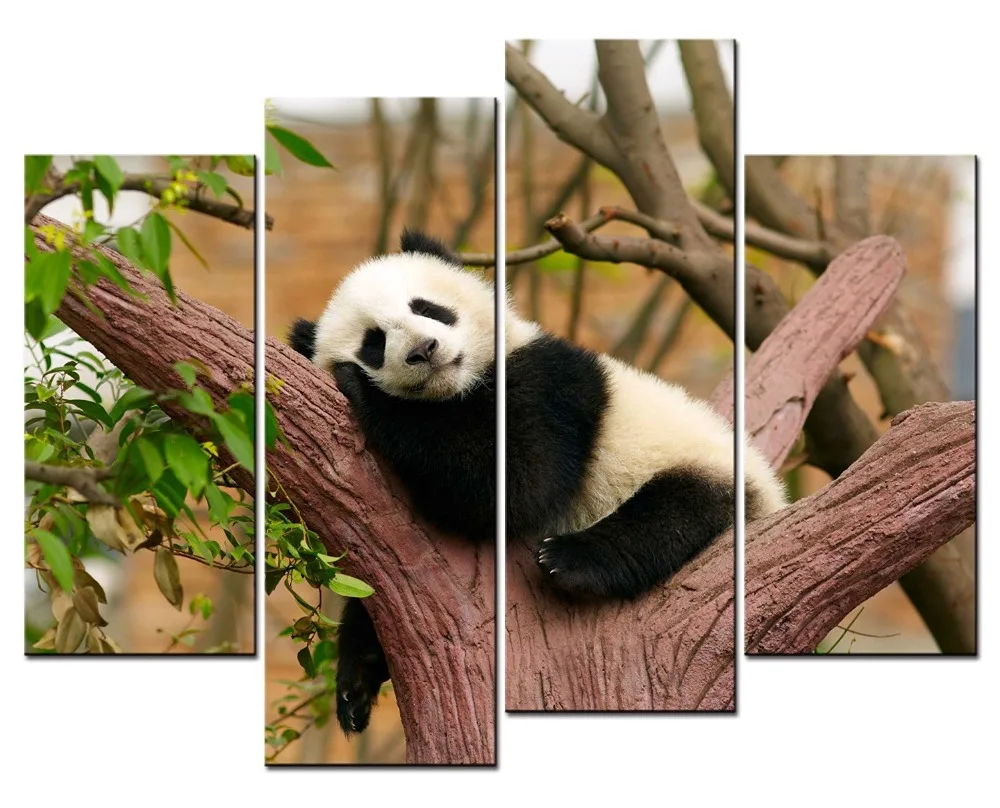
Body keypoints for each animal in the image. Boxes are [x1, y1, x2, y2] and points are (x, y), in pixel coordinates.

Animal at [289, 229, 786, 734]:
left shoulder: (549, 386)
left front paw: (364, 390)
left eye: (427, 308)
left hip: (703, 466)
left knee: (675, 512)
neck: (460, 389)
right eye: (373, 343)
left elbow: (513, 486)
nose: (424, 350)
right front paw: (356, 679)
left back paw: (571, 559)